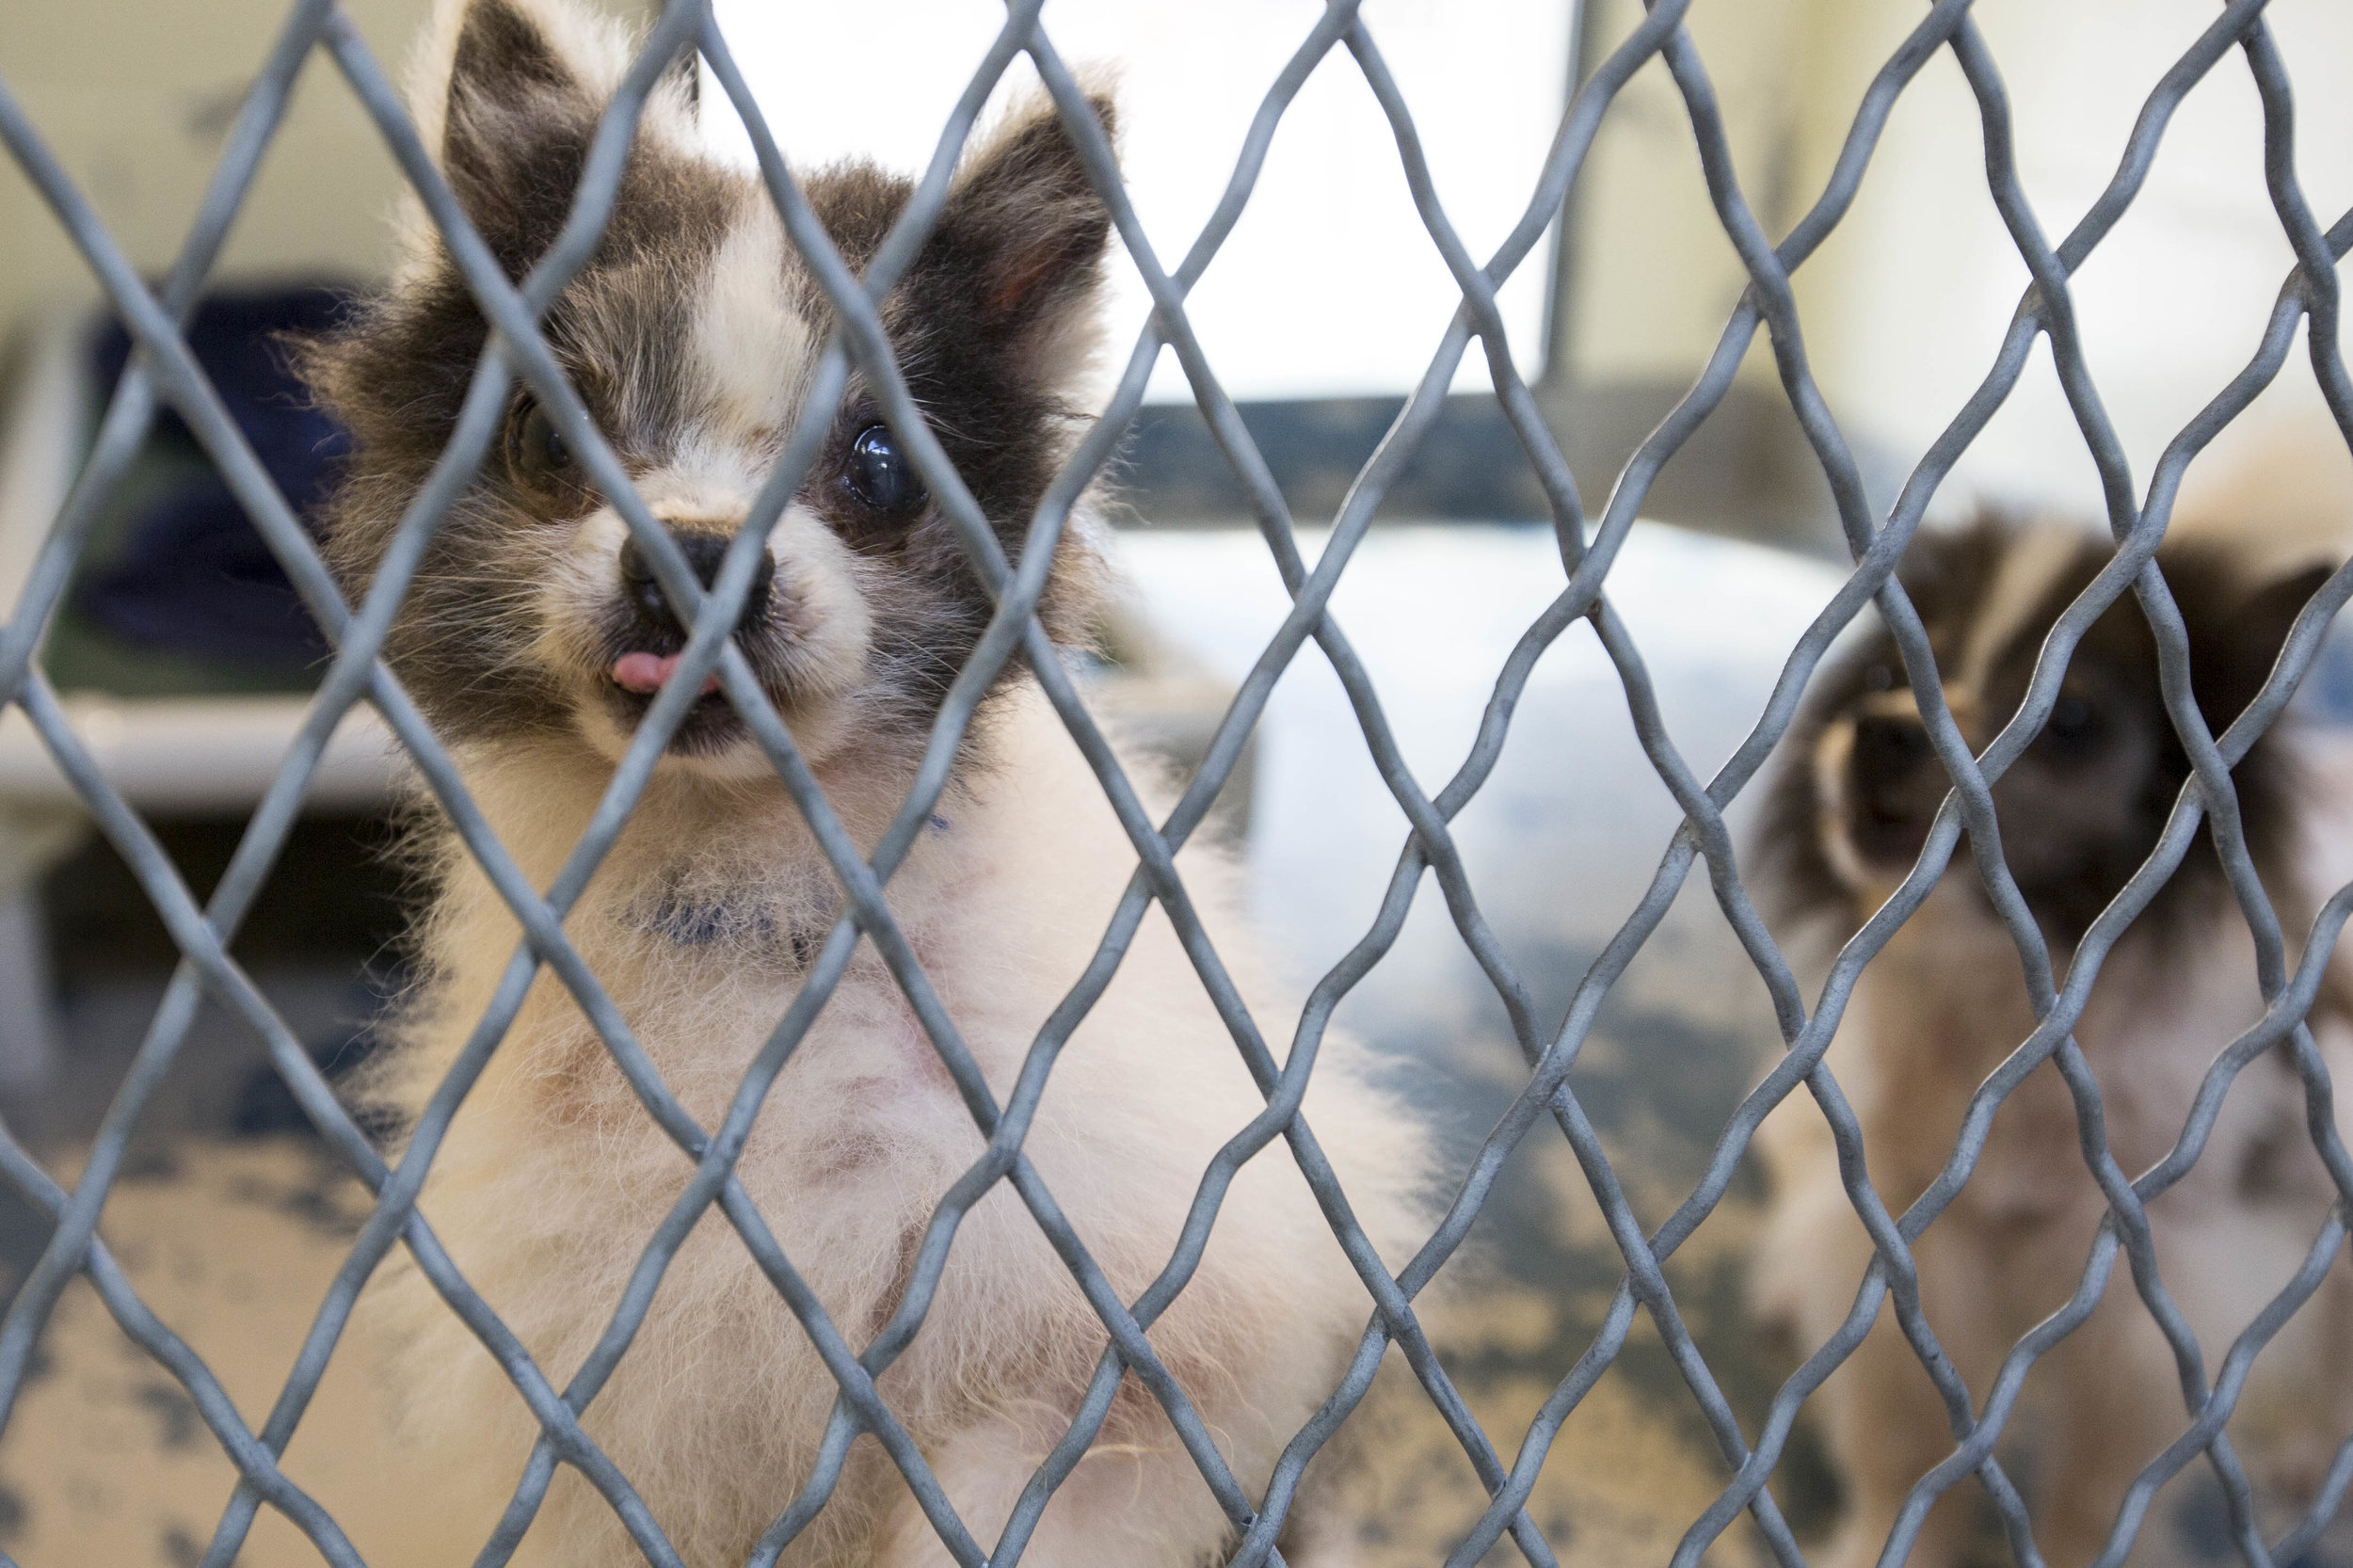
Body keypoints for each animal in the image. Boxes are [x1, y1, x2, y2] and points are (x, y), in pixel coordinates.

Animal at [303, 3, 1421, 1562]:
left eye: (879, 468)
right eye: (539, 440)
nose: (695, 552)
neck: (759, 908)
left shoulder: (1197, 1323)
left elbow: (1032, 1472)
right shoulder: (597, 1412)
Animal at [1741, 505, 2353, 1562]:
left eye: (2071, 722)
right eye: (1885, 675)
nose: (1882, 731)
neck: (2012, 1008)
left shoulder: (2150, 1300)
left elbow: (2100, 1491)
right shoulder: (1910, 1241)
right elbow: (1904, 1446)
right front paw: (1882, 1543)